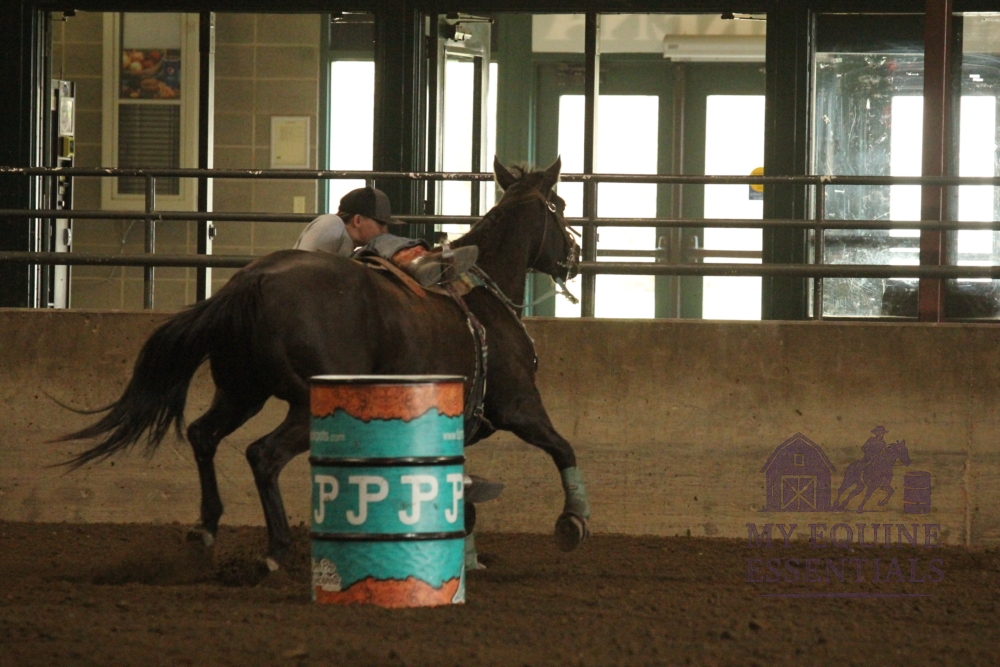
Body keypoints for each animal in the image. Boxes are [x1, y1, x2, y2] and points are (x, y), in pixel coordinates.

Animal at [58, 158, 592, 568]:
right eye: (561, 206)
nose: (575, 253)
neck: (481, 292)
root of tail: (251, 281)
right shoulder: (520, 404)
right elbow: (563, 447)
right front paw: (574, 519)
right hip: (308, 402)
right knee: (263, 455)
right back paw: (275, 549)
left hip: (241, 392)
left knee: (203, 436)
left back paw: (207, 528)